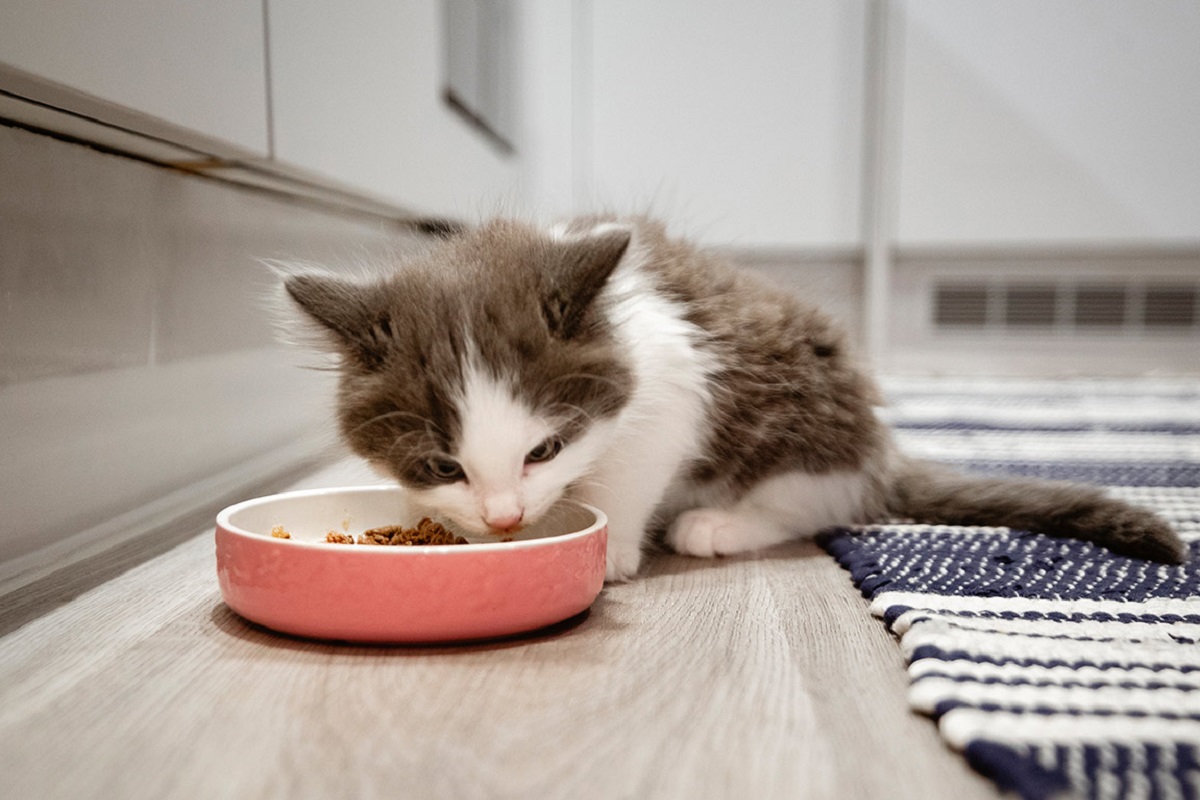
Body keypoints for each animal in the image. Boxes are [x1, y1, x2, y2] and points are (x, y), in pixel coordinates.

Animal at [283, 217, 1190, 582]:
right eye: (442, 466)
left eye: (544, 450)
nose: (505, 518)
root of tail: (880, 447)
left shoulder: (673, 388)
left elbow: (632, 471)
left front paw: (608, 549)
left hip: (802, 416)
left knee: (818, 501)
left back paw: (718, 524)